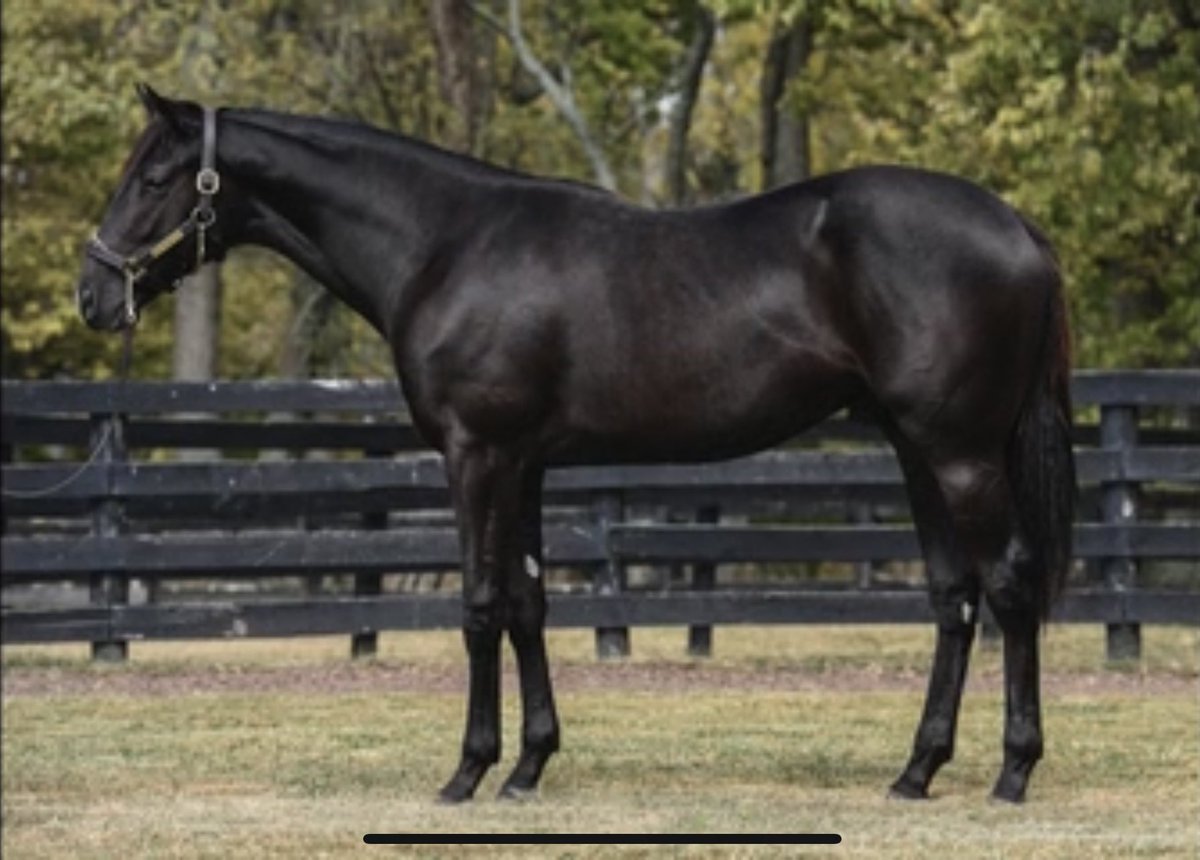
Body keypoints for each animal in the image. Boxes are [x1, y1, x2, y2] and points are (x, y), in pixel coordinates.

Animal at [78, 84, 1076, 804]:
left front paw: (467, 773)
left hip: (959, 453)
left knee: (1009, 585)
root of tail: (1019, 226)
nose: (94, 295)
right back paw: (916, 772)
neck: (444, 244)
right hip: (916, 450)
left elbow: (481, 606)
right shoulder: (523, 464)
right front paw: (528, 767)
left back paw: (1013, 771)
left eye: (155, 179)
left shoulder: (477, 456)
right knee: (953, 597)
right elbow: (528, 605)